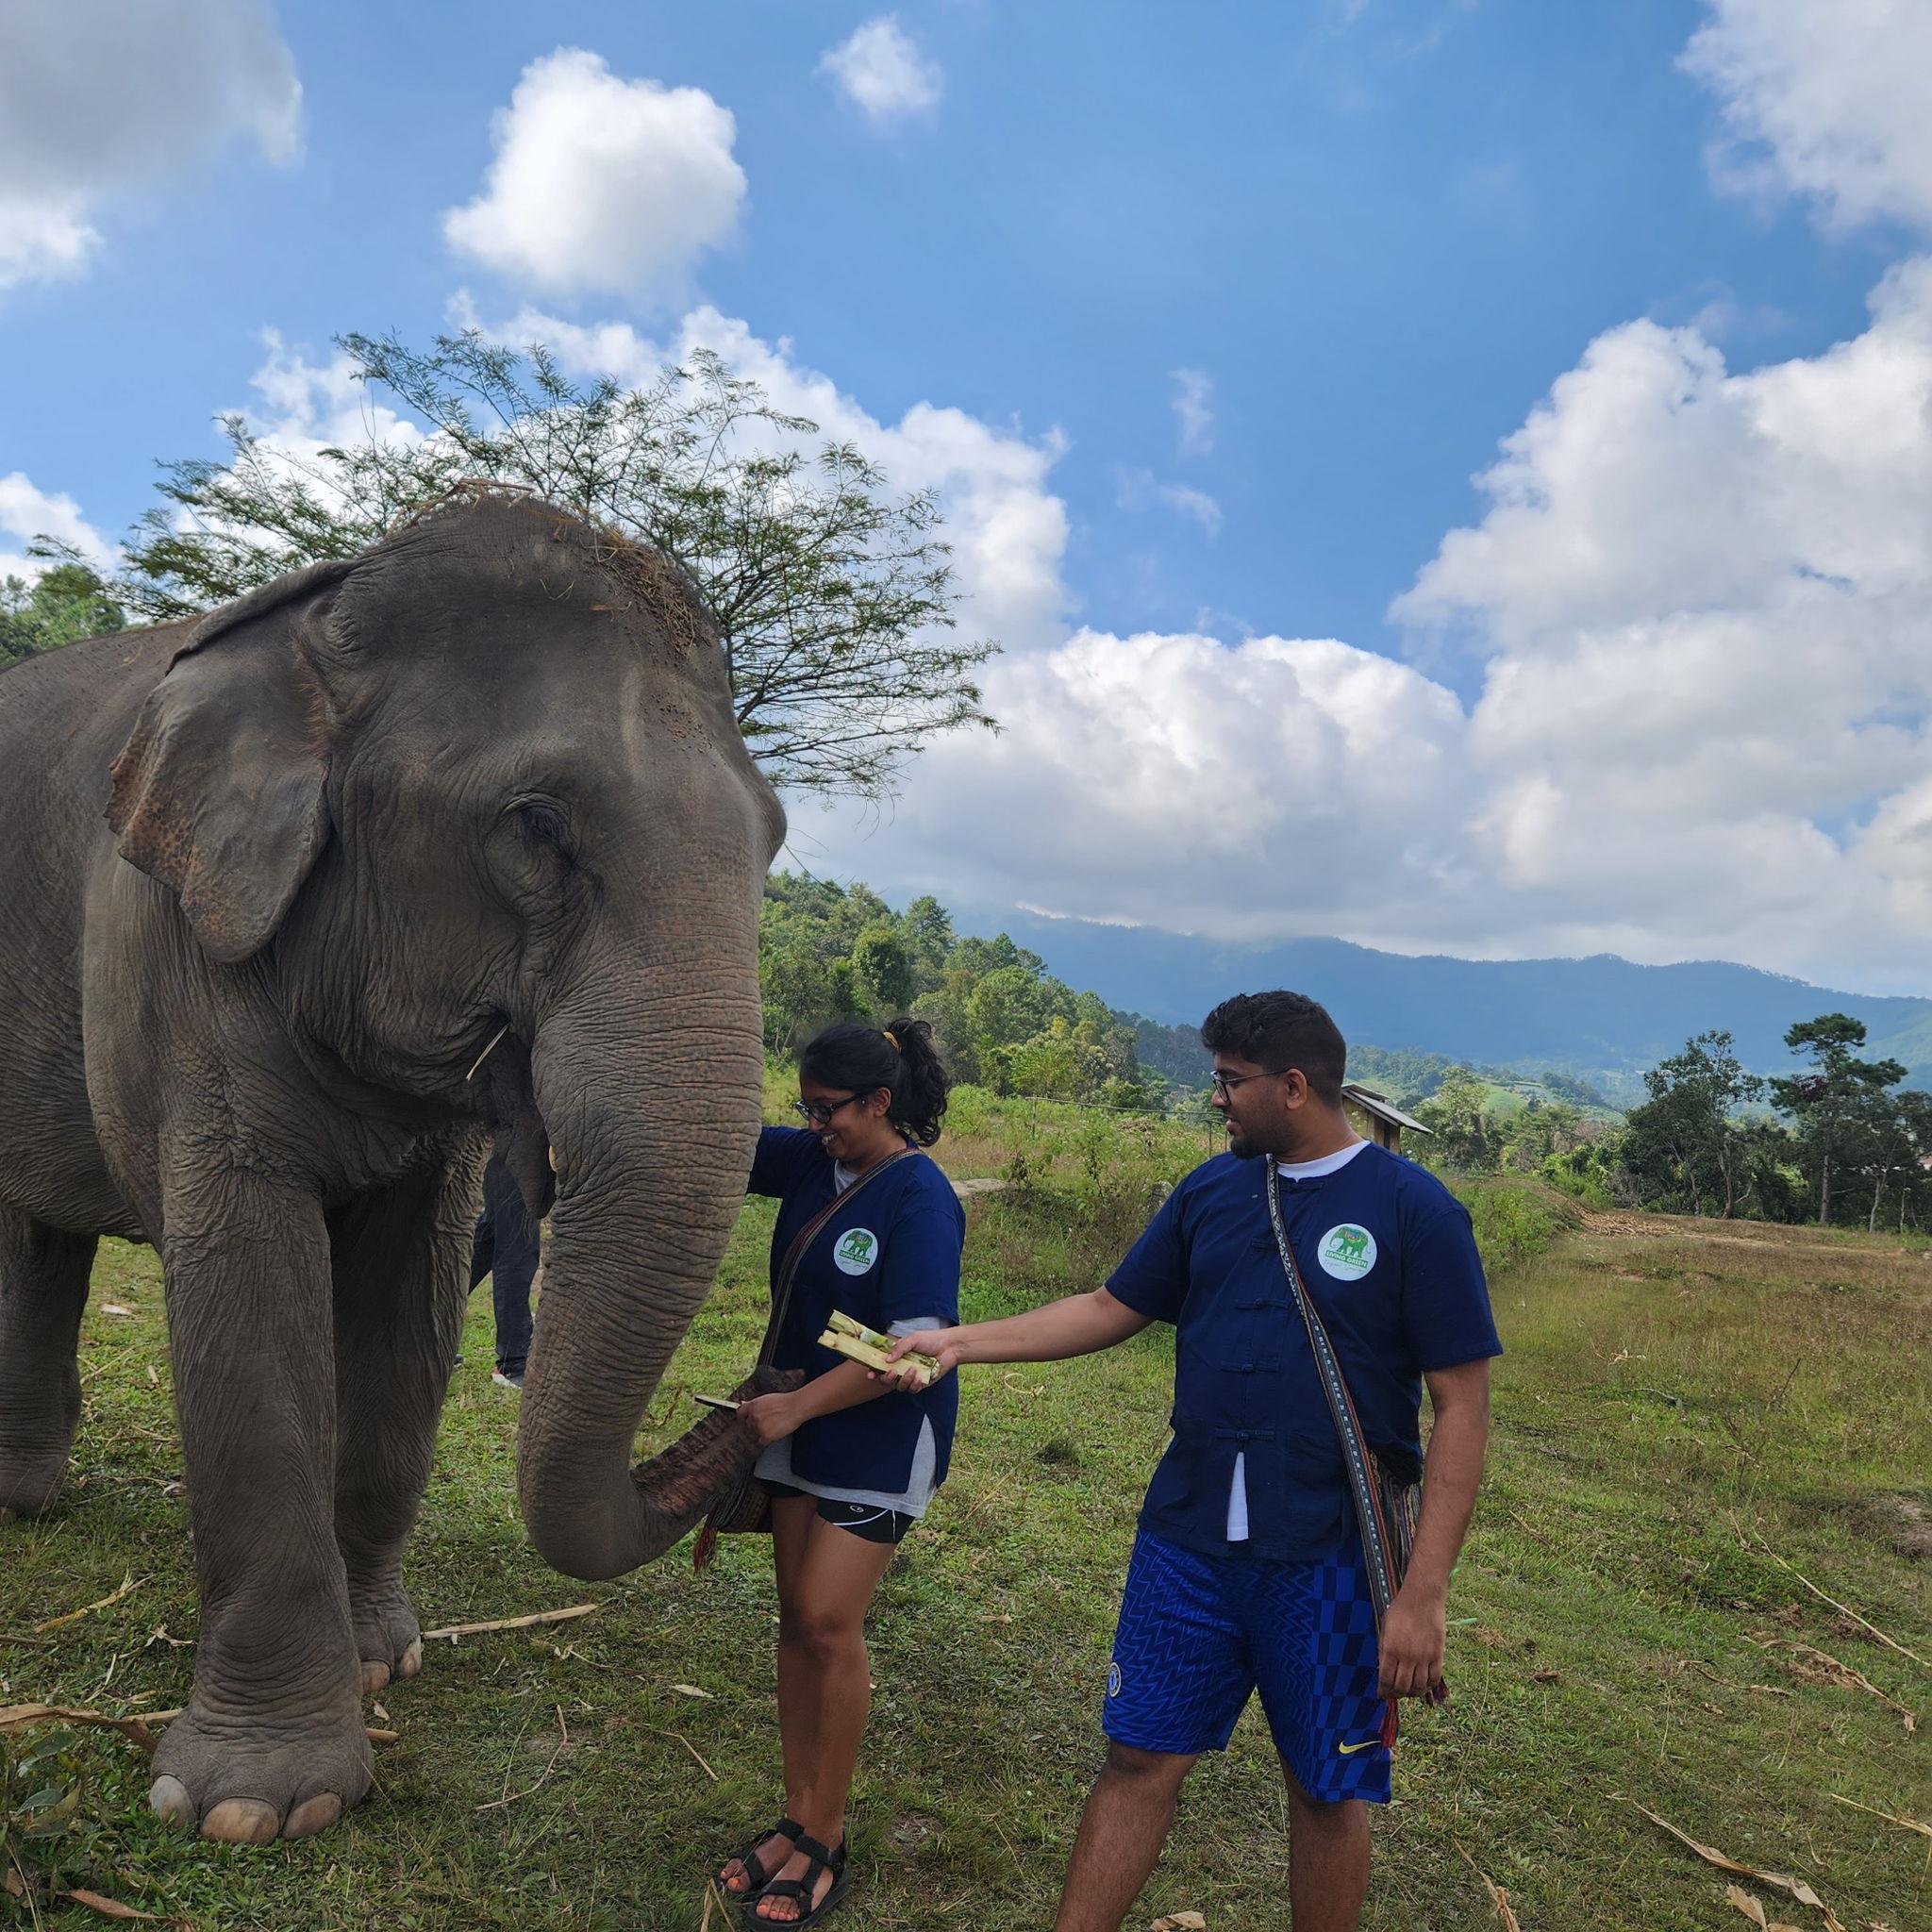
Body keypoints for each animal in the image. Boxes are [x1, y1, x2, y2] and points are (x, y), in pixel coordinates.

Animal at [0, 490, 787, 1842]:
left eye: (776, 837)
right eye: (536, 826)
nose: (747, 1404)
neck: (317, 619)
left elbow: (409, 1300)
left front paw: (383, 1661)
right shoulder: (168, 939)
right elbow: (248, 1295)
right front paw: (257, 1804)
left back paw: (33, 1494)